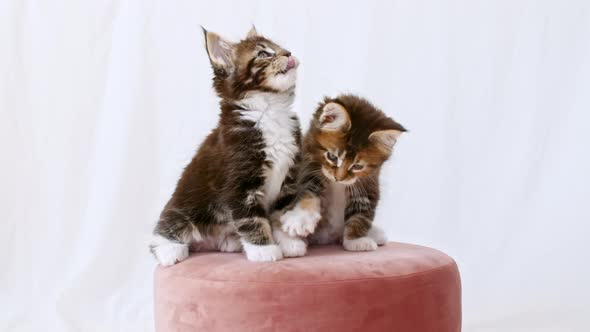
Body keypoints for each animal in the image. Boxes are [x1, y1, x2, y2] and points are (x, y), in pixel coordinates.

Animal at [150, 26, 302, 264]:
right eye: (263, 54)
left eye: (279, 48)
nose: (288, 53)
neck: (270, 111)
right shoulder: (239, 184)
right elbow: (252, 219)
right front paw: (264, 250)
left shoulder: (289, 179)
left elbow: (281, 214)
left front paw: (288, 242)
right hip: (183, 205)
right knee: (165, 228)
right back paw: (169, 250)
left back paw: (230, 242)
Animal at [274, 93, 404, 254]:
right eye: (332, 157)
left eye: (357, 166)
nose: (338, 178)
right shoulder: (308, 166)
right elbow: (308, 192)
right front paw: (300, 219)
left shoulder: (369, 182)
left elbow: (361, 213)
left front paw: (355, 240)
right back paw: (290, 244)